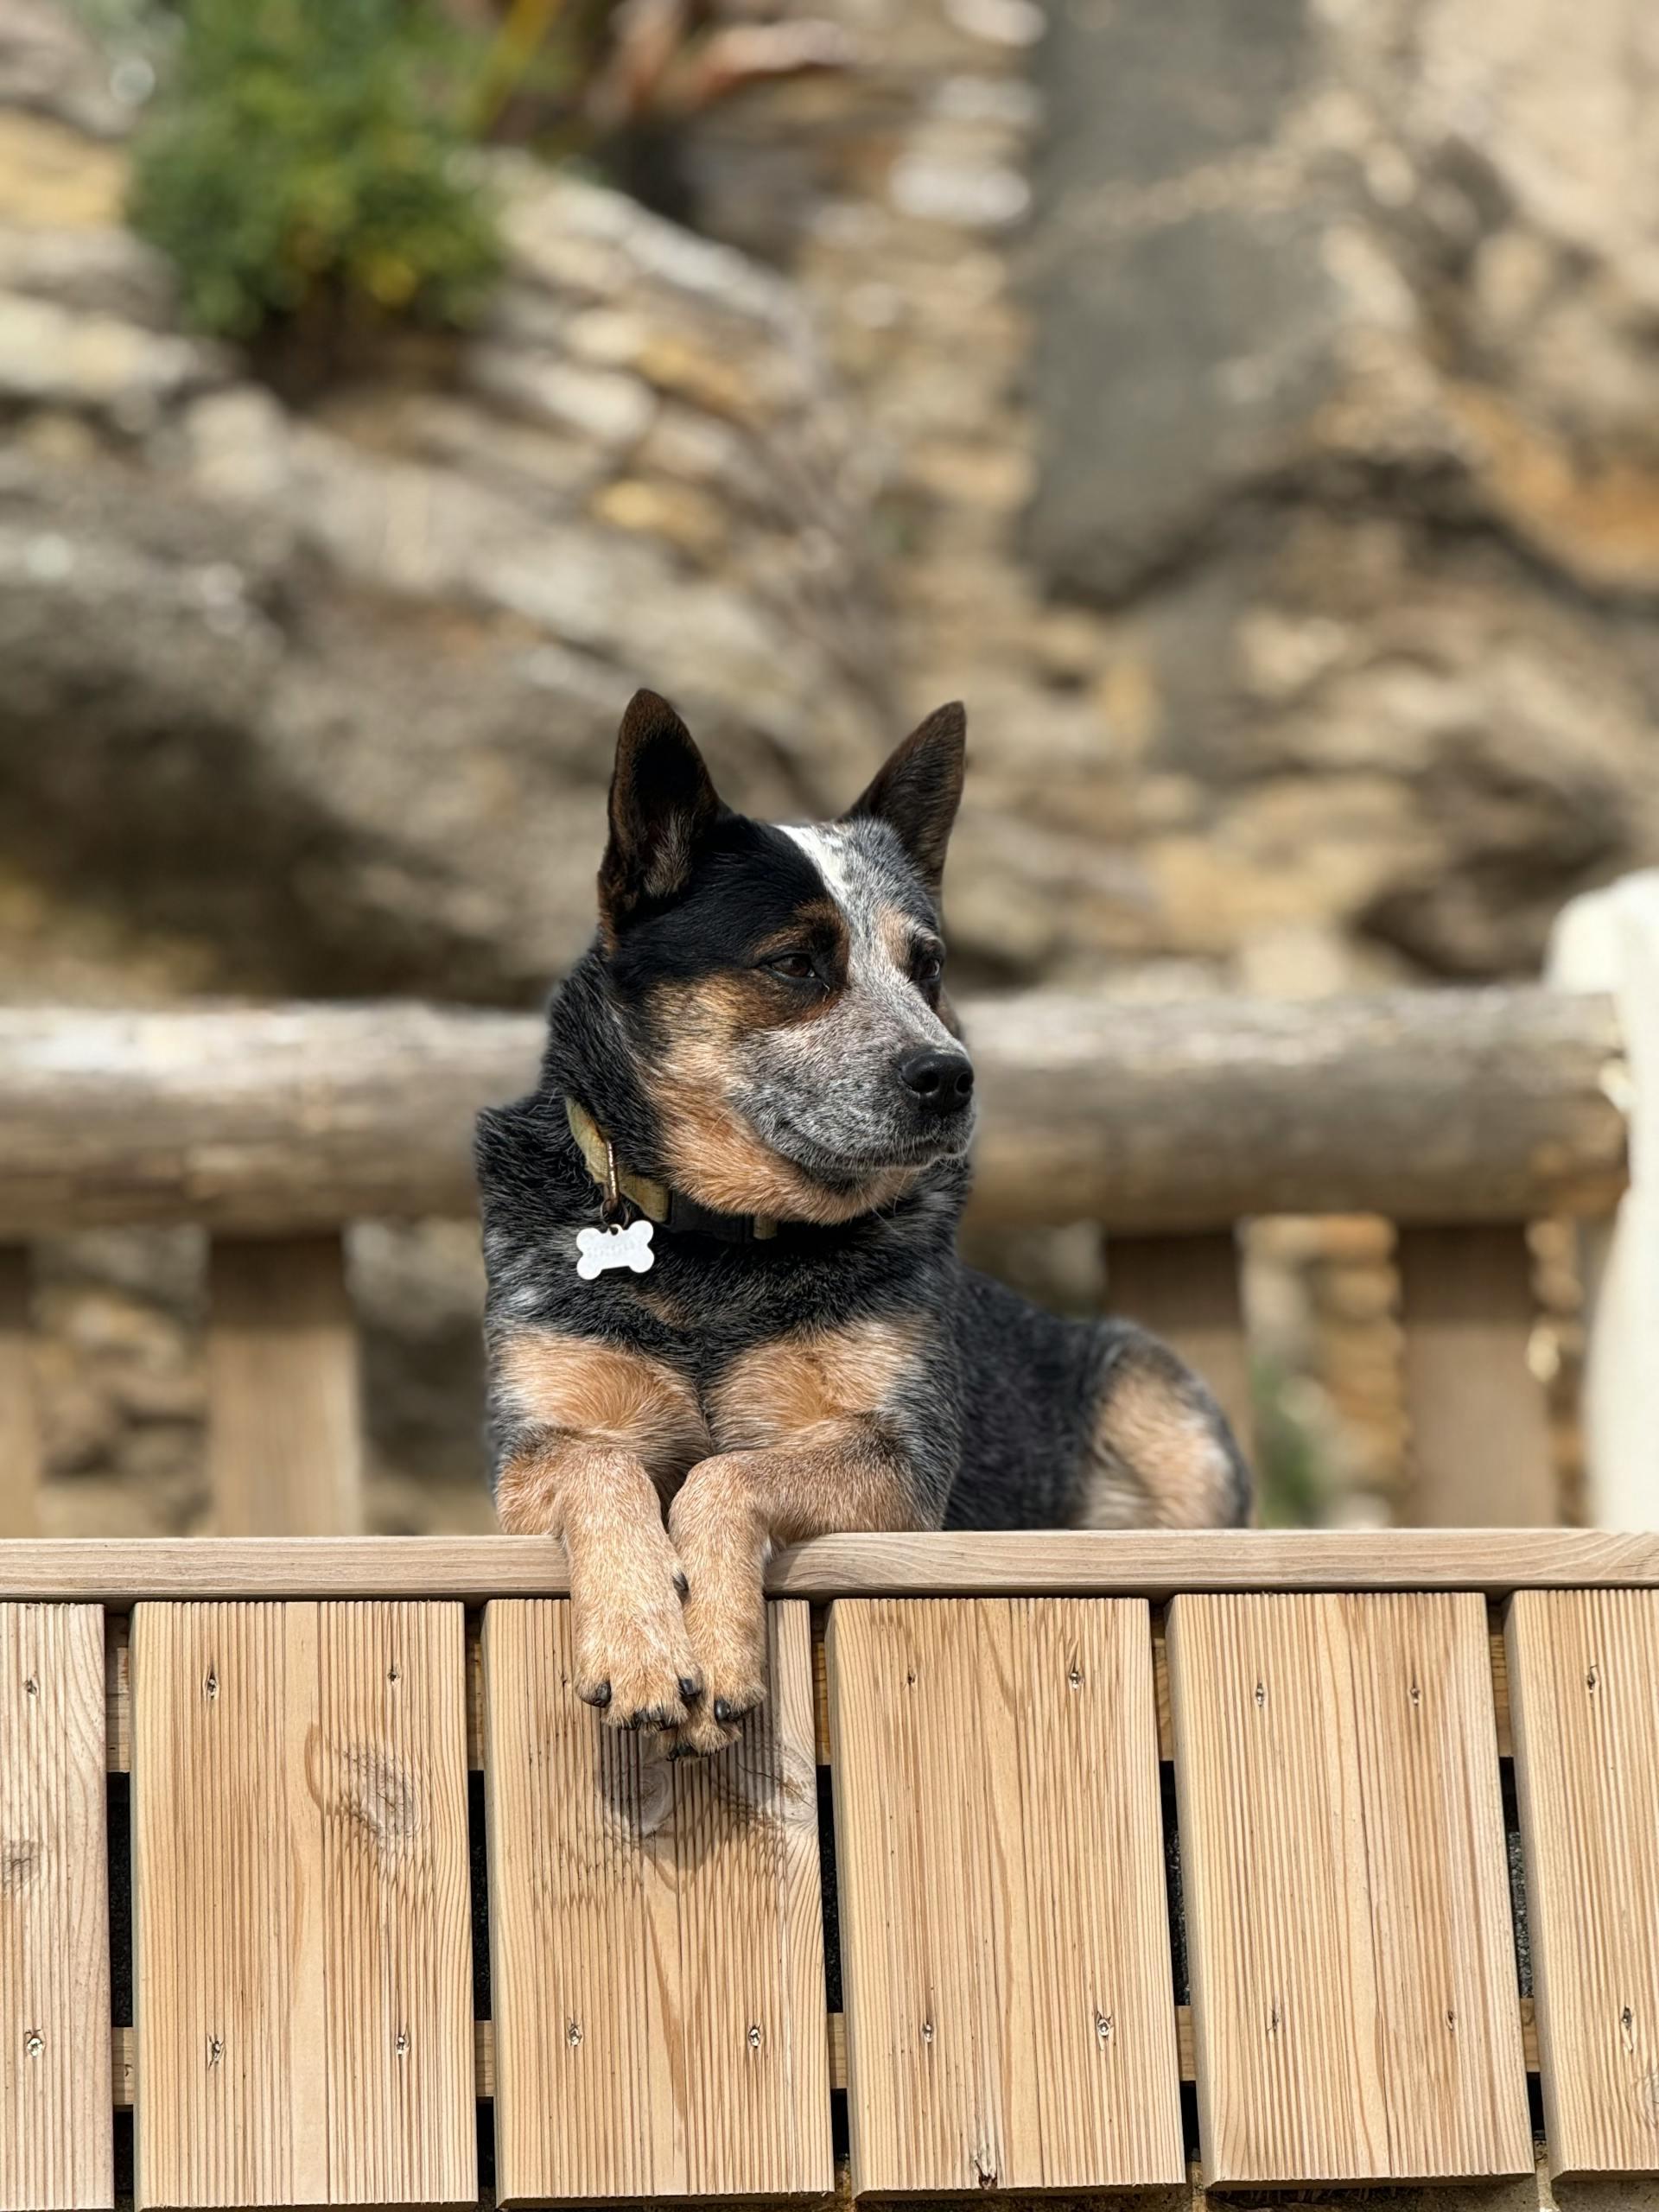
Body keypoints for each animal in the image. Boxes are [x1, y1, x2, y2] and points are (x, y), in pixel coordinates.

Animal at [473, 681, 1256, 1751]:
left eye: (927, 966)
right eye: (798, 962)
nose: (951, 1077)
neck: (720, 1245)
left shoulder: (897, 1455)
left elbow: (729, 1474)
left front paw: (715, 1648)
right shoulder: (536, 1444)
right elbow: (603, 1469)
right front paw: (641, 1647)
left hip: (1159, 1393)